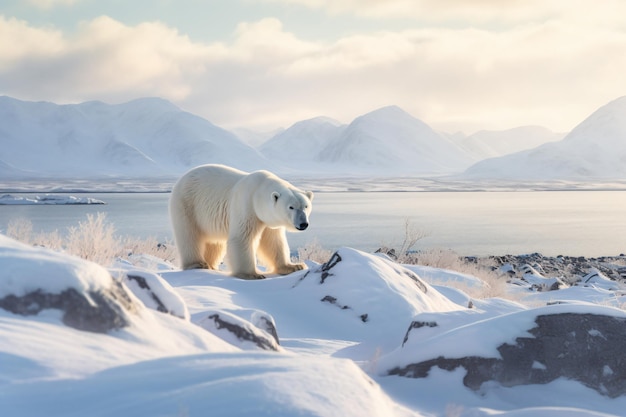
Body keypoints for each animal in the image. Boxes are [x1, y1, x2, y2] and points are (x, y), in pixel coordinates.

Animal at [168, 163, 312, 280]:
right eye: (291, 207)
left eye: (305, 206)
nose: (303, 224)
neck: (258, 192)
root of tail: (182, 178)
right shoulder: (246, 205)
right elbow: (242, 238)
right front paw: (252, 274)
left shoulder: (268, 219)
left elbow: (274, 241)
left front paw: (294, 266)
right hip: (187, 204)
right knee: (189, 235)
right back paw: (198, 263)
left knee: (214, 242)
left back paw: (211, 265)